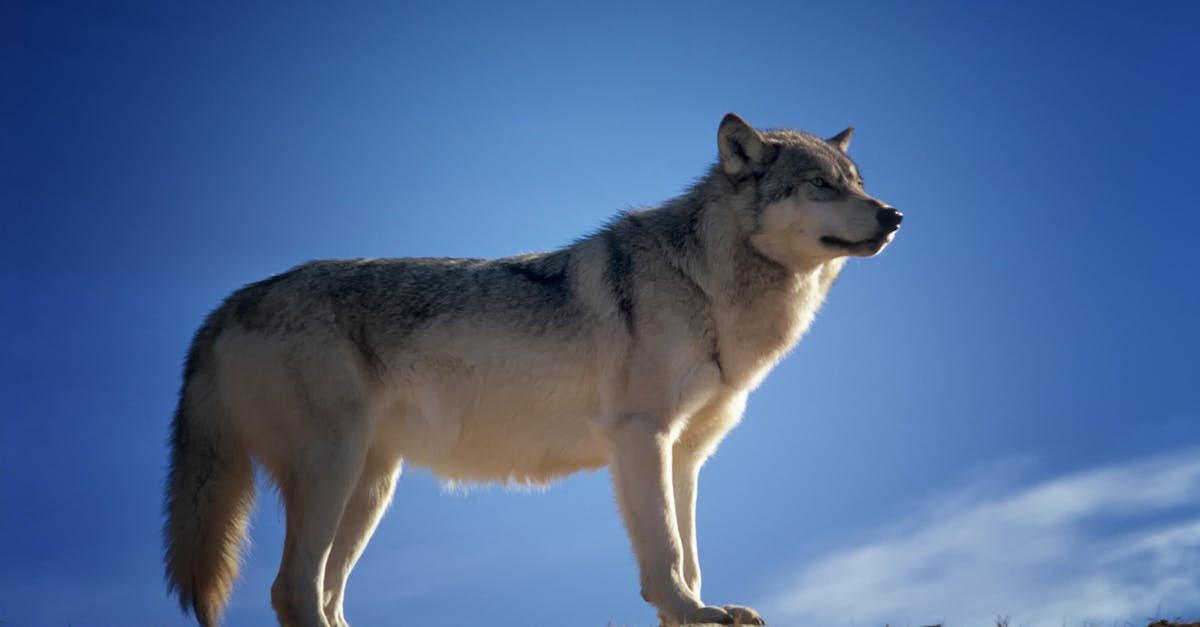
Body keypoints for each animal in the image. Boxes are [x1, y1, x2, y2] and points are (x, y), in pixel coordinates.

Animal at [163, 113, 902, 627]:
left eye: (858, 182)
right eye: (820, 185)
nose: (894, 215)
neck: (704, 283)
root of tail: (227, 305)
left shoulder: (686, 455)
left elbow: (688, 555)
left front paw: (696, 613)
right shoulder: (641, 436)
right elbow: (665, 555)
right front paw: (692, 611)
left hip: (371, 488)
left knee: (323, 594)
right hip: (333, 470)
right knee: (292, 590)